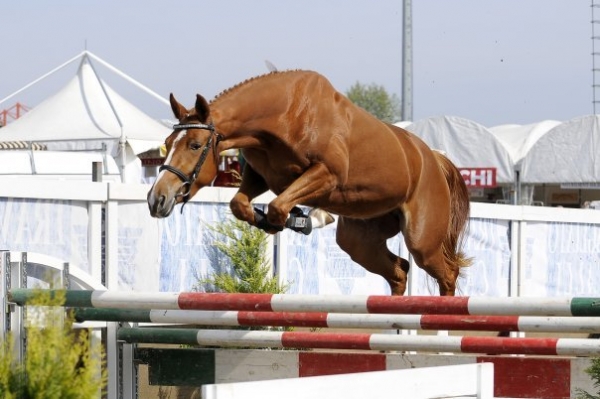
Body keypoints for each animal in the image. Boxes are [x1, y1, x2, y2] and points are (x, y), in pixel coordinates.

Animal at [148, 71, 472, 296]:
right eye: (167, 143)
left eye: (194, 145)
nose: (156, 198)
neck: (283, 117)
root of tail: (434, 159)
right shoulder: (262, 176)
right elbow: (240, 204)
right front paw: (273, 221)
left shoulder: (326, 175)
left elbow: (278, 206)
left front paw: (300, 220)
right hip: (360, 240)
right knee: (400, 271)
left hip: (422, 240)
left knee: (447, 274)